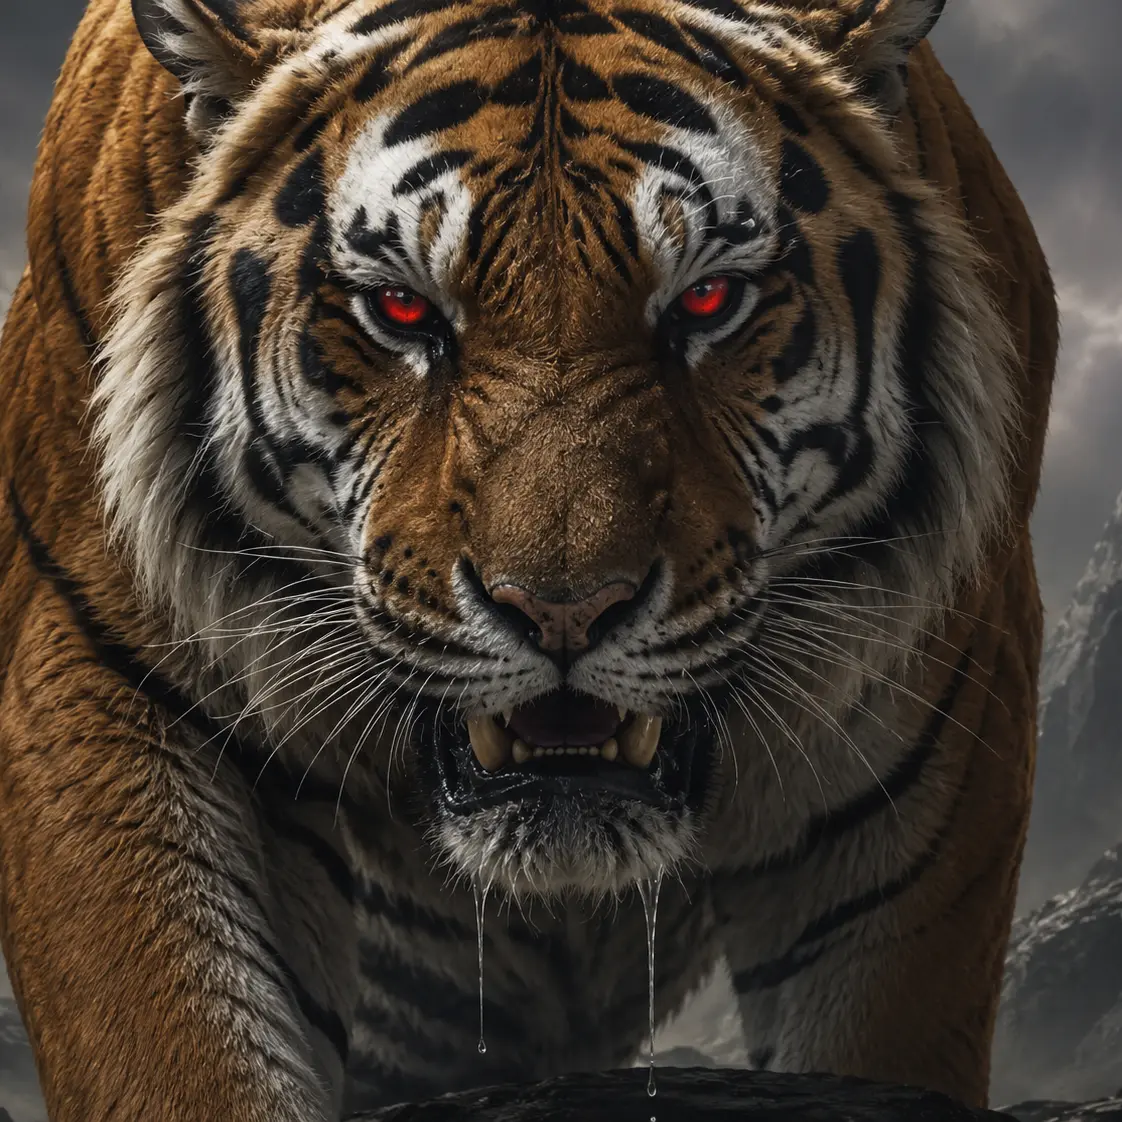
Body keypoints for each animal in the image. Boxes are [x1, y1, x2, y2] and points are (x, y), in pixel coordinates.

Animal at [0, 0, 1057, 1117]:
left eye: (709, 301)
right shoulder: (104, 677)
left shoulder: (931, 749)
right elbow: (180, 1048)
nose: (564, 611)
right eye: (404, 311)